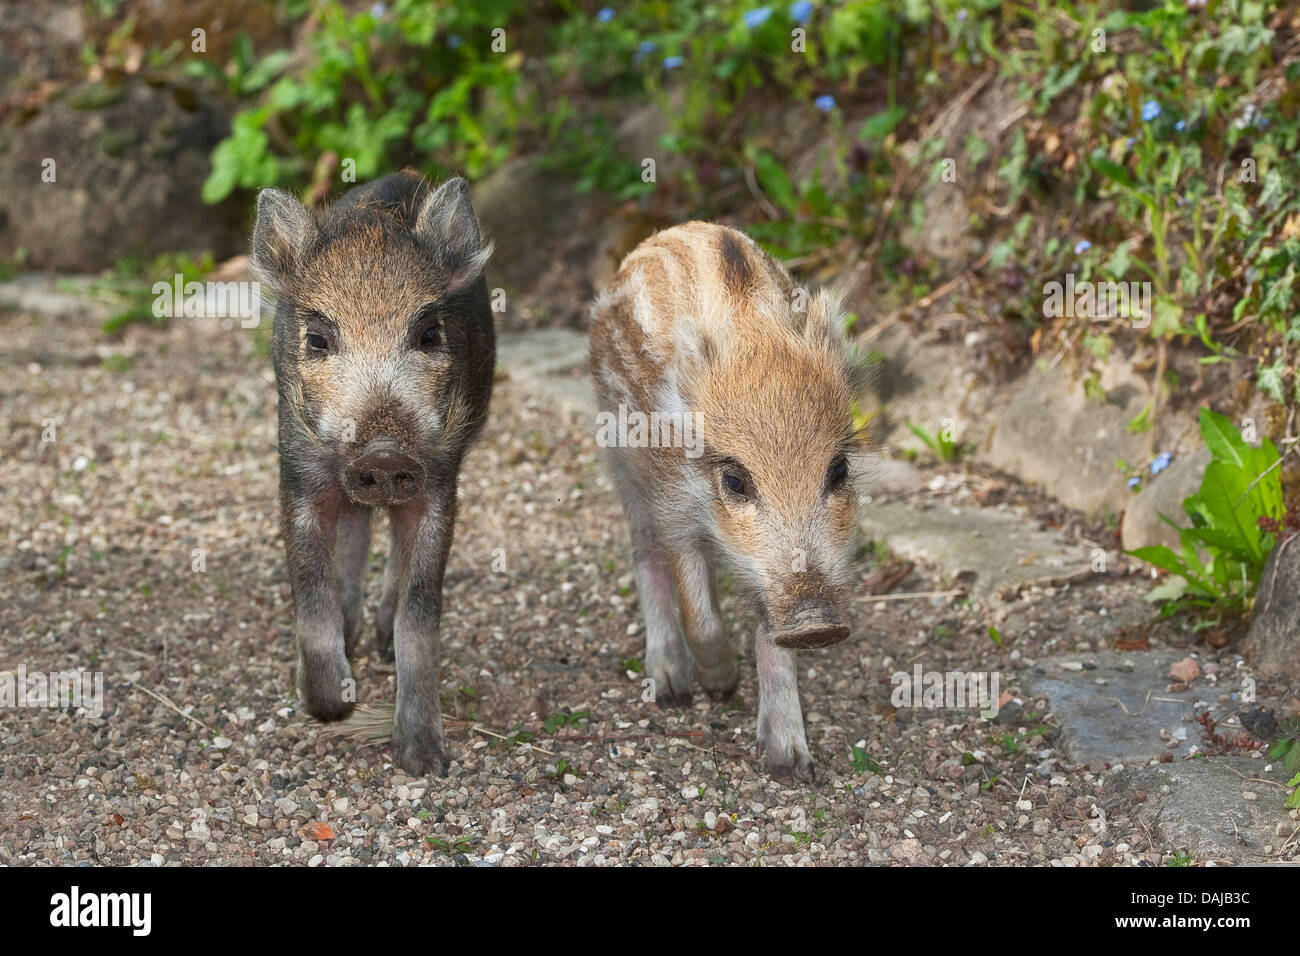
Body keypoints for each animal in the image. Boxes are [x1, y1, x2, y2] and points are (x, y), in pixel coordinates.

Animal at [251, 170, 495, 776]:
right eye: (318, 339)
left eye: (429, 333)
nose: (384, 456)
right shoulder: (299, 477)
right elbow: (311, 592)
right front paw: (330, 706)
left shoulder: (438, 481)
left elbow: (420, 612)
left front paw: (424, 761)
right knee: (357, 534)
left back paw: (377, 640)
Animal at [589, 221, 863, 781]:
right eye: (735, 480)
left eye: (839, 469)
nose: (817, 624)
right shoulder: (672, 502)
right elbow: (701, 615)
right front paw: (720, 684)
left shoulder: (769, 575)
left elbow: (769, 631)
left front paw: (790, 763)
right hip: (621, 466)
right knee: (644, 554)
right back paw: (671, 685)